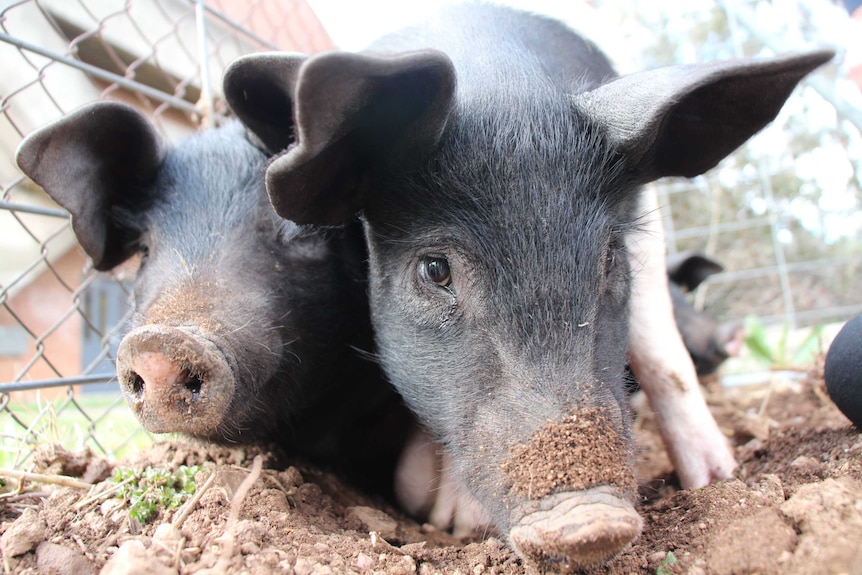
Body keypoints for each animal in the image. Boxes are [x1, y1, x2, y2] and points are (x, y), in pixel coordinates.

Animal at [224, 3, 836, 568]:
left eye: (609, 257)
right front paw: (455, 520)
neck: (502, 84)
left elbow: (662, 355)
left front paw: (717, 479)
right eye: (435, 269)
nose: (593, 522)